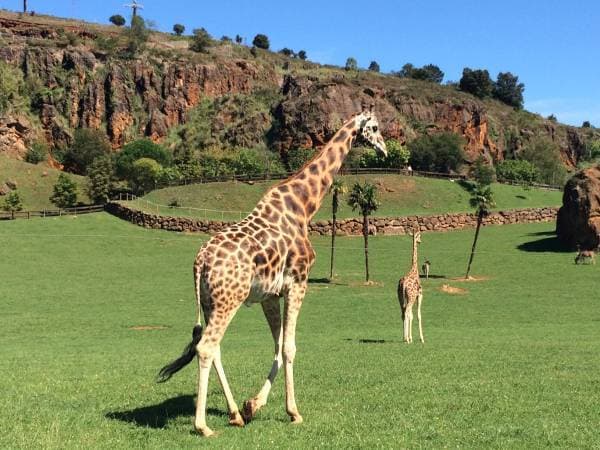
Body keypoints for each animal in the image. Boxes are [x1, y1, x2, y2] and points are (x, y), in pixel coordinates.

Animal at [157, 109, 386, 436]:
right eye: (375, 128)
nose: (385, 150)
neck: (303, 205)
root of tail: (200, 261)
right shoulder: (298, 282)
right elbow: (289, 347)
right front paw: (293, 412)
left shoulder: (269, 294)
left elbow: (277, 345)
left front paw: (252, 406)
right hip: (228, 300)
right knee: (207, 347)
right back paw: (203, 426)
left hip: (211, 303)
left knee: (214, 348)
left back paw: (234, 414)